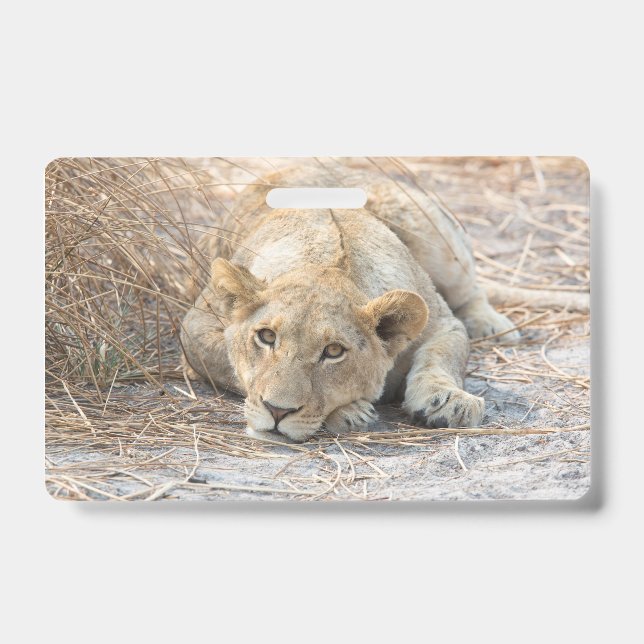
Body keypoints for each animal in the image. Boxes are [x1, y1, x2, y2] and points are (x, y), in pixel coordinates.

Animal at [180, 166, 520, 442]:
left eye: (333, 351)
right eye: (266, 336)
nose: (276, 411)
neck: (329, 262)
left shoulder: (443, 323)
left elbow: (442, 356)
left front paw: (450, 401)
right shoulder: (195, 327)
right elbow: (228, 365)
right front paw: (350, 412)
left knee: (470, 289)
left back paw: (492, 324)